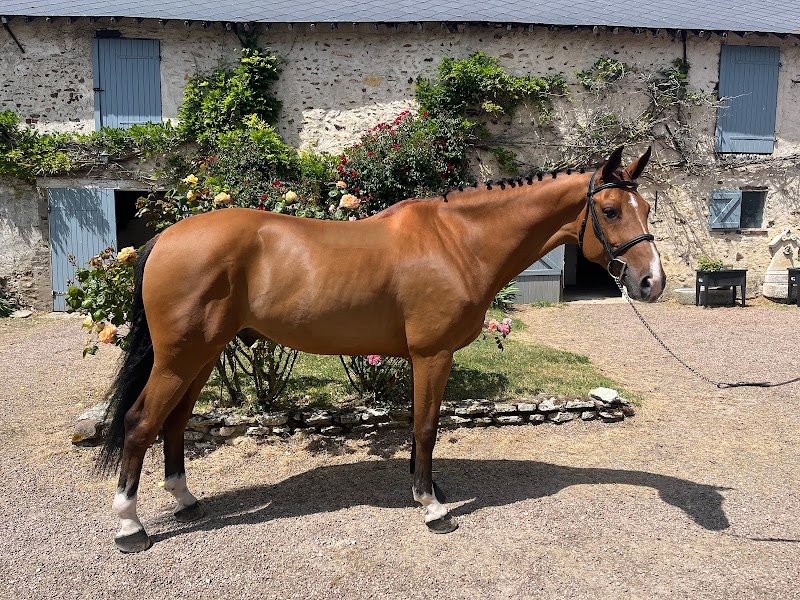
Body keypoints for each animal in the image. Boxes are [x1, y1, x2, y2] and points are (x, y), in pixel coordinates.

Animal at [100, 145, 664, 552]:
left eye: (646, 208)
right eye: (610, 210)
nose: (651, 282)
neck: (459, 242)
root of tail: (165, 237)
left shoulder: (428, 358)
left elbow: (420, 425)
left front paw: (428, 491)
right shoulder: (433, 355)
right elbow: (426, 427)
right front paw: (433, 509)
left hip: (202, 355)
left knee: (174, 423)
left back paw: (185, 500)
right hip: (180, 357)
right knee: (140, 423)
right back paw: (130, 528)